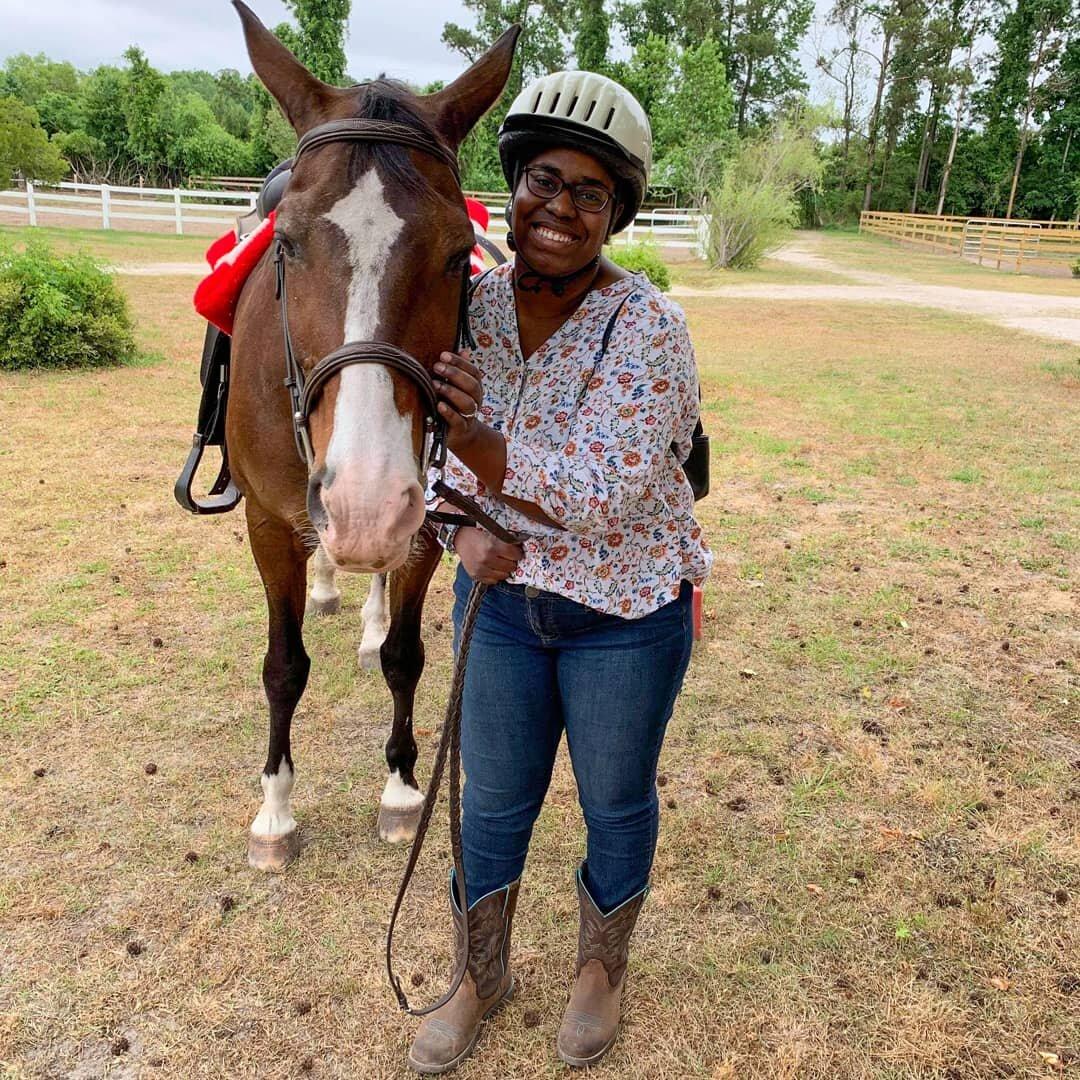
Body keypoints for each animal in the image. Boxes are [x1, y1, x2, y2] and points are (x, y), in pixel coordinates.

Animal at [223, 2, 518, 868]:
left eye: (457, 254)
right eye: (286, 241)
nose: (365, 506)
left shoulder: (421, 524)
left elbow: (405, 657)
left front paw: (400, 791)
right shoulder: (268, 522)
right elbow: (283, 666)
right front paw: (275, 811)